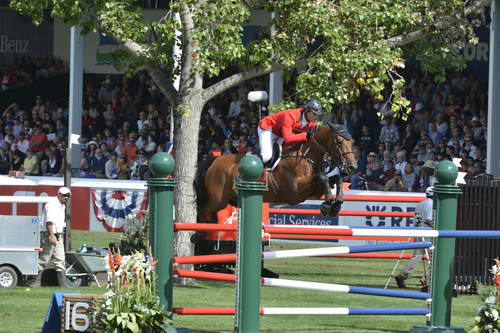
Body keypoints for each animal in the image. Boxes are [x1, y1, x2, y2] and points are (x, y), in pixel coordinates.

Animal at [193, 122, 358, 218]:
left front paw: (334, 205)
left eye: (352, 141)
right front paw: (328, 204)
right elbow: (323, 176)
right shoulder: (296, 191)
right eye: (339, 141)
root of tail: (214, 160)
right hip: (217, 201)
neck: (305, 155)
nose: (352, 167)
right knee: (201, 209)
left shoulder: (313, 192)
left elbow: (334, 179)